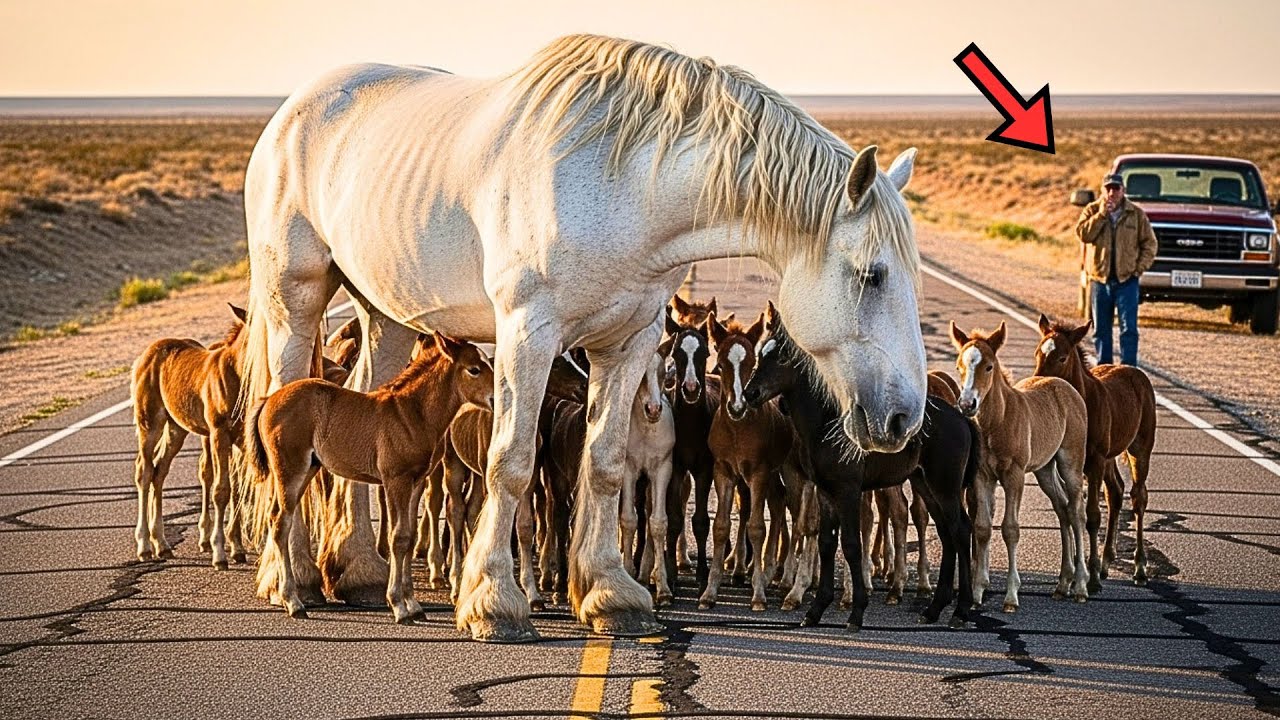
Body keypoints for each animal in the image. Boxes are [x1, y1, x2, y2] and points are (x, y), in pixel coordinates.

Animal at [129, 303, 249, 569]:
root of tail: (144, 355)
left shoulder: (242, 438)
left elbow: (239, 487)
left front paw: (237, 549)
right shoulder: (218, 433)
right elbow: (221, 489)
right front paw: (219, 554)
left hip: (177, 427)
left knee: (159, 469)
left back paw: (162, 544)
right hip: (149, 422)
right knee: (144, 470)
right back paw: (144, 546)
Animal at [244, 332, 492, 622]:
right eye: (474, 369)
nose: (496, 399)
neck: (413, 414)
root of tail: (268, 400)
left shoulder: (416, 482)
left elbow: (408, 538)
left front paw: (413, 605)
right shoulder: (396, 480)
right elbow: (399, 538)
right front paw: (398, 606)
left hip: (308, 469)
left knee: (279, 517)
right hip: (290, 469)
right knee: (279, 522)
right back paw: (293, 602)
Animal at [743, 303, 978, 629]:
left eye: (782, 357)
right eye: (760, 352)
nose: (749, 393)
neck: (827, 424)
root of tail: (962, 419)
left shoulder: (849, 490)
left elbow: (852, 544)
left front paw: (856, 611)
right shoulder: (825, 490)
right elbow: (827, 543)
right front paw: (816, 610)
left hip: (945, 486)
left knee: (961, 531)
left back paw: (961, 610)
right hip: (925, 484)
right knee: (946, 534)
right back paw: (934, 609)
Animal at [950, 321, 1090, 611]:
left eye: (989, 366)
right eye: (959, 366)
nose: (967, 404)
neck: (997, 423)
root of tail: (1065, 385)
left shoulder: (1014, 475)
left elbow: (1010, 529)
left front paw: (1011, 597)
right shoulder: (982, 476)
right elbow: (982, 528)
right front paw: (977, 593)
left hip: (1071, 461)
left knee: (1076, 512)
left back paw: (1081, 585)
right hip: (1044, 468)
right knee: (1062, 508)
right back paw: (1062, 583)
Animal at [1033, 315, 1157, 587]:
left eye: (1062, 357)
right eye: (1038, 353)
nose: (1038, 381)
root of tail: (1135, 372)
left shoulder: (1096, 461)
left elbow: (1091, 516)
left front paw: (1090, 577)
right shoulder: (1073, 462)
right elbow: (1072, 511)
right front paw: (1076, 573)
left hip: (1139, 447)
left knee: (1138, 497)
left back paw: (1139, 567)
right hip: (1109, 457)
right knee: (1116, 491)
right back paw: (1107, 561)